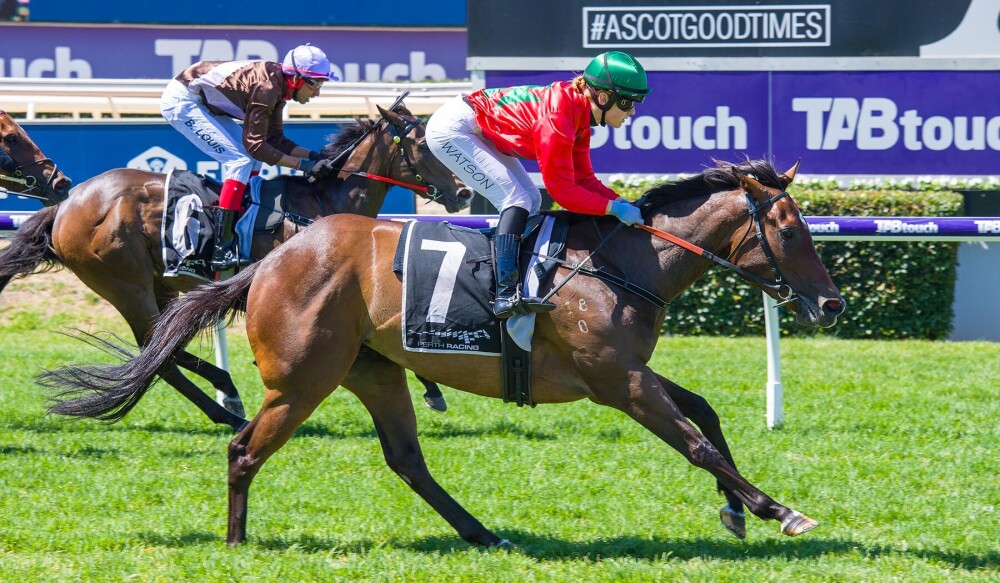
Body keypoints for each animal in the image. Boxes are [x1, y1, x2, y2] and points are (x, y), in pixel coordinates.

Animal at [1, 101, 470, 428]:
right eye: (423, 145)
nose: (464, 193)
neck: (317, 205)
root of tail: (68, 202)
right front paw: (433, 389)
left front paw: (432, 387)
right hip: (125, 284)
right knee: (158, 353)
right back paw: (226, 409)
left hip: (158, 283)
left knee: (162, 346)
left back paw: (226, 392)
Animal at [43, 159, 848, 548]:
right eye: (789, 228)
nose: (833, 303)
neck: (623, 263)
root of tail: (269, 262)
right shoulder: (615, 379)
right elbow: (693, 440)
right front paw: (777, 509)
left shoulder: (625, 371)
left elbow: (705, 414)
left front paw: (739, 510)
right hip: (302, 378)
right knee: (244, 448)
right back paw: (237, 540)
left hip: (372, 370)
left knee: (407, 459)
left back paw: (481, 531)